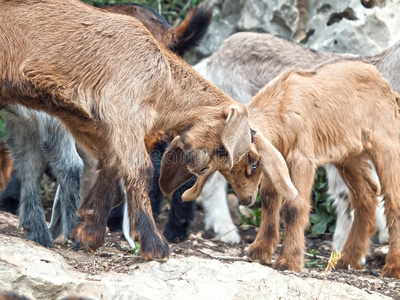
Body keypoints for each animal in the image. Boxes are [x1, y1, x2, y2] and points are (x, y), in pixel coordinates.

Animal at [0, 0, 253, 258]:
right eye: (224, 149)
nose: (248, 198)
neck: (162, 76)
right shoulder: (124, 111)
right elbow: (139, 168)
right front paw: (153, 243)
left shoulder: (100, 124)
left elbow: (111, 165)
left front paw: (88, 231)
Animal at [220, 60, 400, 278]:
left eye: (254, 164)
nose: (246, 199)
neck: (282, 103)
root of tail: (387, 86)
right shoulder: (277, 158)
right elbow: (270, 199)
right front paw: (259, 251)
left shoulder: (301, 158)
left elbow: (293, 207)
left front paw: (289, 261)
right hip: (350, 154)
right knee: (366, 195)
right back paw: (349, 259)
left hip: (385, 144)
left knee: (393, 200)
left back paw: (393, 266)